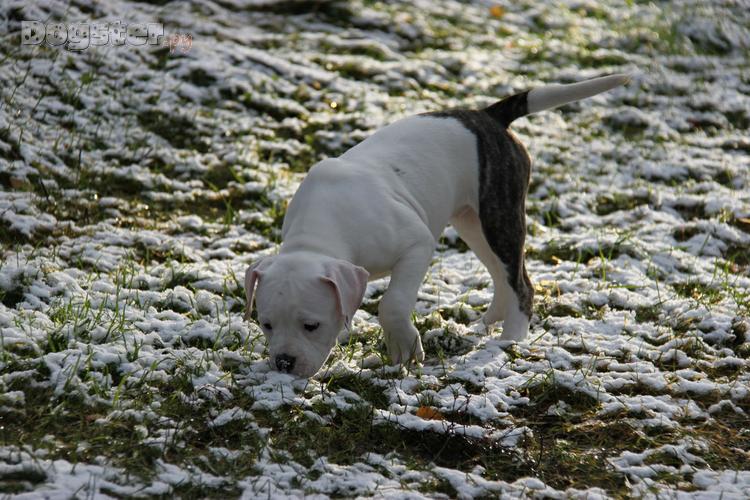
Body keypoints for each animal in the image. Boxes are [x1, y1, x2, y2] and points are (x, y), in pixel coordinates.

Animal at [244, 74, 630, 377]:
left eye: (311, 325)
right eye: (266, 324)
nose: (283, 363)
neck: (319, 235)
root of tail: (487, 116)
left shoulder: (416, 245)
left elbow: (393, 302)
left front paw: (403, 347)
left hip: (499, 216)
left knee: (521, 283)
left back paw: (510, 340)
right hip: (472, 221)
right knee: (501, 273)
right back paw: (490, 320)